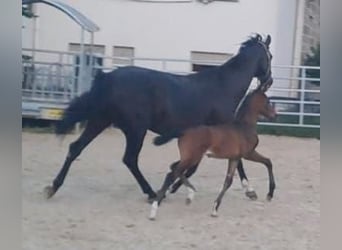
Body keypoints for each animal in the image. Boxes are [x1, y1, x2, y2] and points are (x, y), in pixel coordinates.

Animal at [43, 33, 272, 201]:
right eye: (269, 56)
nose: (268, 81)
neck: (224, 86)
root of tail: (108, 77)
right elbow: (224, 163)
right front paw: (250, 190)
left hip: (101, 120)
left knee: (76, 148)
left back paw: (53, 187)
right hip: (136, 129)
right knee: (129, 159)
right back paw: (151, 193)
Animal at [148, 87, 276, 220]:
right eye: (267, 101)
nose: (275, 115)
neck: (243, 127)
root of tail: (183, 131)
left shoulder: (234, 158)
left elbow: (228, 181)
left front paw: (215, 209)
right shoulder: (248, 154)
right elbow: (268, 162)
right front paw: (269, 194)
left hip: (190, 157)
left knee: (173, 168)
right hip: (192, 158)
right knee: (174, 172)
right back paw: (163, 206)